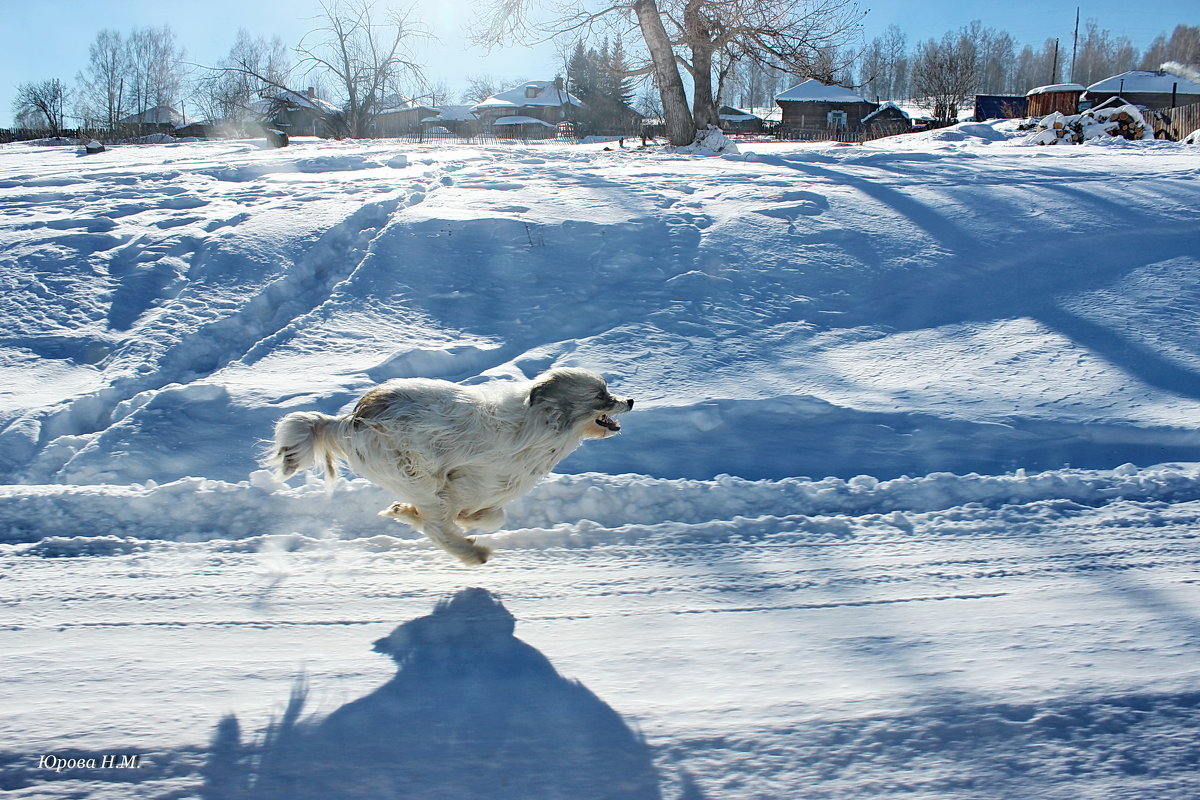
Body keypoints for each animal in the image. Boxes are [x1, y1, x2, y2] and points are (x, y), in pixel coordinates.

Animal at [268, 371, 633, 566]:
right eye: (601, 395)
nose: (629, 401)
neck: (543, 424)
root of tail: (350, 420)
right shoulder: (464, 482)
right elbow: (456, 516)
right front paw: (460, 526)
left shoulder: (486, 493)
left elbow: (493, 516)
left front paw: (463, 519)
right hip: (415, 474)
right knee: (435, 526)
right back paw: (473, 553)